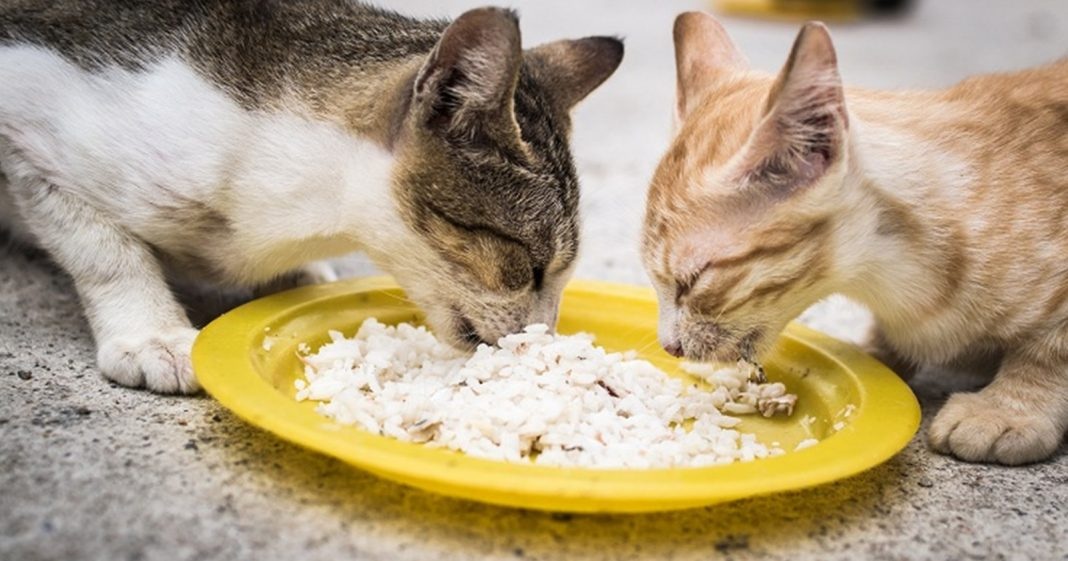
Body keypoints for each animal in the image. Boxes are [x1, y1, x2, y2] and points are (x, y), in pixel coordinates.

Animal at [0, 0, 623, 393]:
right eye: (527, 264)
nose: (544, 341)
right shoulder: (28, 122)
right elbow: (105, 249)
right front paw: (151, 334)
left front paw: (296, 277)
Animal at [640, 12, 1068, 463]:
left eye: (693, 280)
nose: (669, 346)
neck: (891, 278)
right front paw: (875, 355)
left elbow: (1050, 350)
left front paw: (1008, 408)